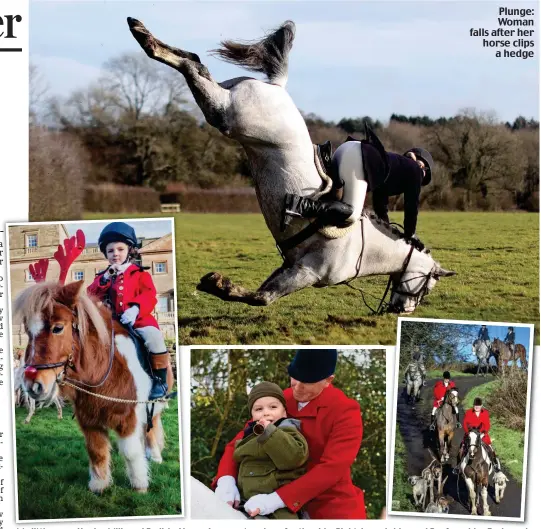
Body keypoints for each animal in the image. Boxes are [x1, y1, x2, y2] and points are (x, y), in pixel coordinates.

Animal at [15, 280, 173, 490]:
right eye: (27, 331)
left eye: (58, 328)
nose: (33, 385)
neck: (101, 371)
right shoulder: (89, 419)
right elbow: (96, 450)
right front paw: (99, 485)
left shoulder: (127, 417)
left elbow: (131, 452)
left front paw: (139, 485)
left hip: (154, 403)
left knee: (152, 424)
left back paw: (154, 455)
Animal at [127, 18, 456, 312]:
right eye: (427, 285)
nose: (402, 310)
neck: (364, 250)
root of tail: (277, 85)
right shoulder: (306, 272)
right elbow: (261, 298)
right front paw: (217, 284)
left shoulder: (292, 265)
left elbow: (263, 293)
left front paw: (219, 284)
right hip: (229, 116)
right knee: (194, 68)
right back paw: (144, 37)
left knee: (196, 63)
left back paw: (142, 32)